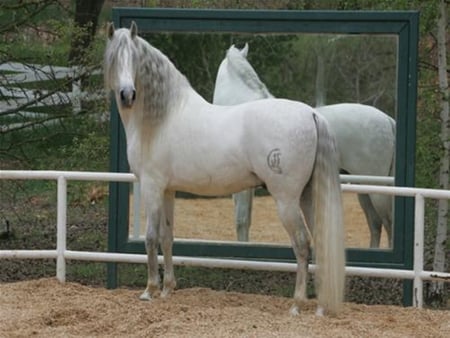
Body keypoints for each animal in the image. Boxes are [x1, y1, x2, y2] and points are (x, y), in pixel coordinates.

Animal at [104, 22, 344, 316]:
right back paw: (320, 307)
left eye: (134, 59)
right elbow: (167, 237)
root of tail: (312, 114)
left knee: (301, 244)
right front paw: (168, 289)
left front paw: (150, 290)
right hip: (309, 196)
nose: (127, 95)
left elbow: (150, 237)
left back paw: (296, 305)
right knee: (321, 242)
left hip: (286, 200)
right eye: (115, 58)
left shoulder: (152, 186)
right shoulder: (168, 190)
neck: (162, 118)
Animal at [214, 43, 394, 247]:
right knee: (375, 223)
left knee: (387, 222)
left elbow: (242, 220)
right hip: (363, 187)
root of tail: (386, 119)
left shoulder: (243, 190)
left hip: (377, 186)